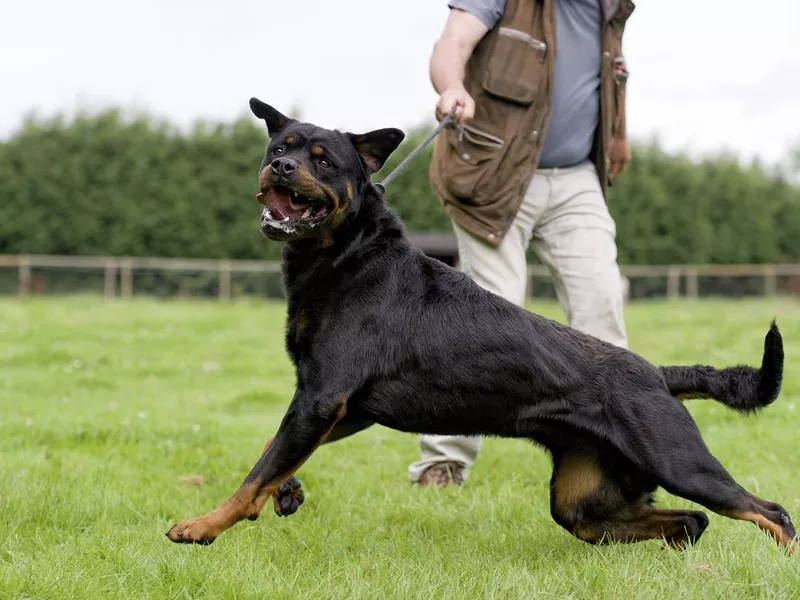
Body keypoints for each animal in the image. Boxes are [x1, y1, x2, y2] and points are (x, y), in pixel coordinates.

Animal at [167, 99, 792, 552]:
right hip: (584, 499)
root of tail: (658, 374)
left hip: (678, 461)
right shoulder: (342, 408)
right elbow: (272, 454)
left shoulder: (323, 397)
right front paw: (286, 491)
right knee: (686, 522)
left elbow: (256, 471)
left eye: (323, 161)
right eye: (280, 147)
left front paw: (201, 526)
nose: (281, 166)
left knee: (769, 511)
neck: (347, 255)